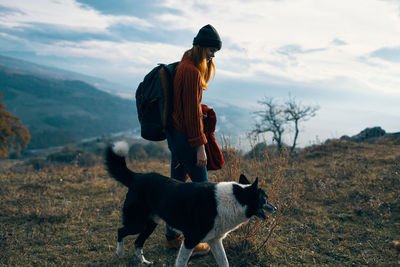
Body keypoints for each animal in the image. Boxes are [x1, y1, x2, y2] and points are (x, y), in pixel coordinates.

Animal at [104, 141, 276, 266]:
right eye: (265, 199)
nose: (275, 208)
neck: (235, 199)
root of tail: (136, 176)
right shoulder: (190, 240)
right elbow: (181, 262)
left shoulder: (215, 240)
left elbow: (224, 262)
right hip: (138, 223)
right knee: (121, 231)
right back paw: (119, 253)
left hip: (150, 224)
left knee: (138, 242)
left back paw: (143, 261)